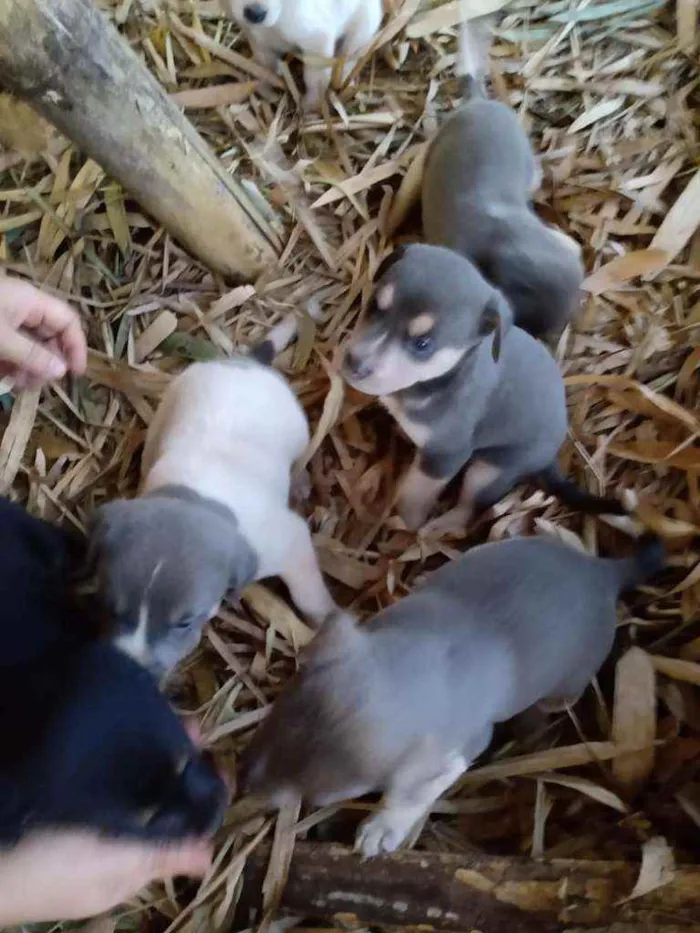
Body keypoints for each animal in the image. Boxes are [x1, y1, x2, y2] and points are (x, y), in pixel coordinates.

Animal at [91, 316, 336, 680]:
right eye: (110, 606)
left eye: (185, 622)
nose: (129, 672)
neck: (195, 497)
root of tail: (245, 363)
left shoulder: (289, 542)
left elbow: (309, 594)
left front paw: (325, 618)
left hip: (299, 432)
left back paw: (301, 482)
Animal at [220, 0, 380, 110]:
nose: (254, 14)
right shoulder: (258, 42)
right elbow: (264, 68)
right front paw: (264, 88)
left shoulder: (317, 41)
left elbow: (315, 79)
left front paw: (311, 104)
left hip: (364, 25)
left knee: (350, 54)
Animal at [344, 246, 636, 540]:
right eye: (375, 306)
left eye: (422, 344)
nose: (353, 364)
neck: (439, 380)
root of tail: (552, 455)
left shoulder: (445, 456)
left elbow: (415, 493)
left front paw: (405, 523)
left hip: (487, 471)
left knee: (468, 510)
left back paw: (439, 527)